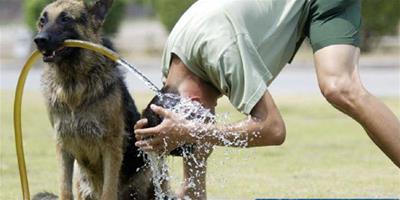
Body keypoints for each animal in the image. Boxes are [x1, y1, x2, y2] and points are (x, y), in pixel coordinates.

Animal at [32, 0, 155, 198]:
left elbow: (108, 192)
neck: (73, 85)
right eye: (42, 21)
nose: (39, 40)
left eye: (66, 19)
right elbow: (64, 190)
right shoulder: (63, 147)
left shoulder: (111, 147)